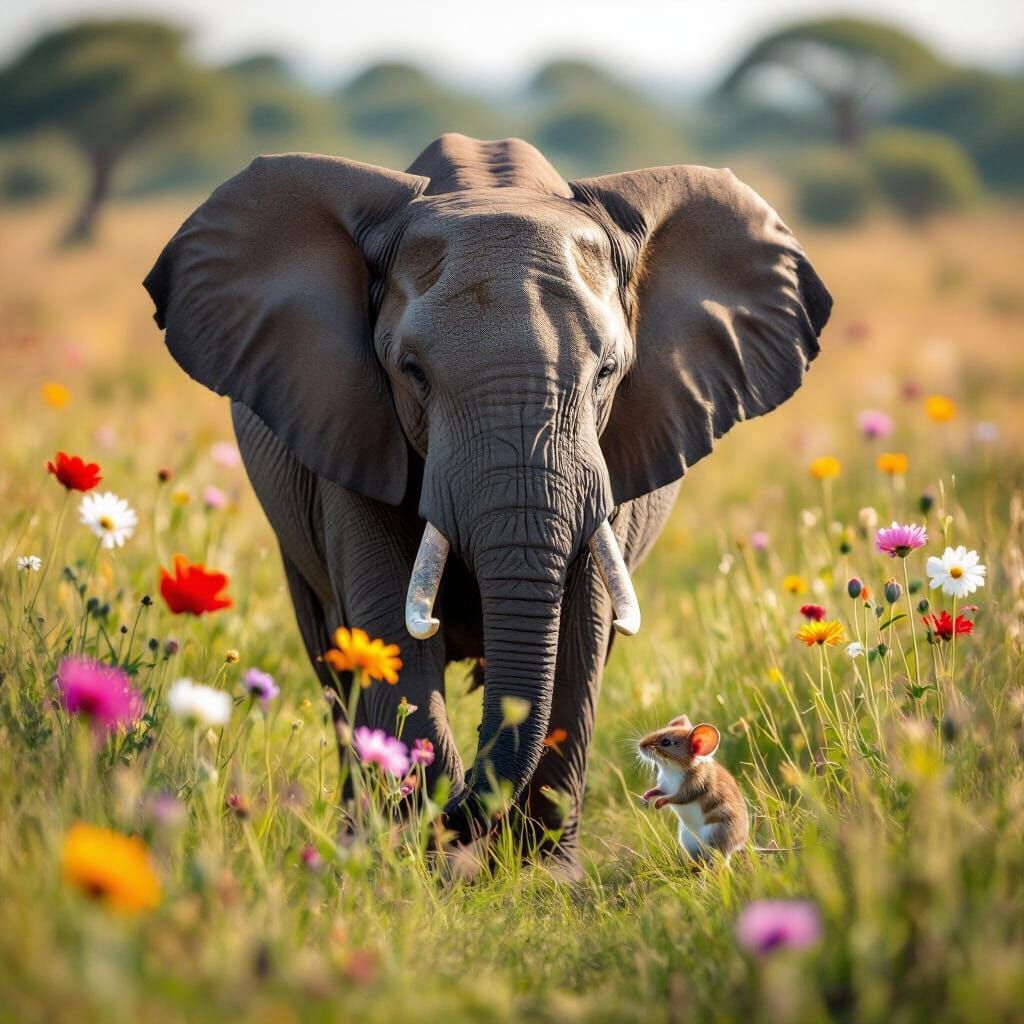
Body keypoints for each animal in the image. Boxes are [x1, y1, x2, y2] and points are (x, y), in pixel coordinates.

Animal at [144, 133, 831, 869]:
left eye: (607, 374)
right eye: (412, 372)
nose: (463, 813)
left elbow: (580, 637)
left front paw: (545, 874)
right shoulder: (351, 428)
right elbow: (387, 632)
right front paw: (433, 861)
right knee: (331, 658)